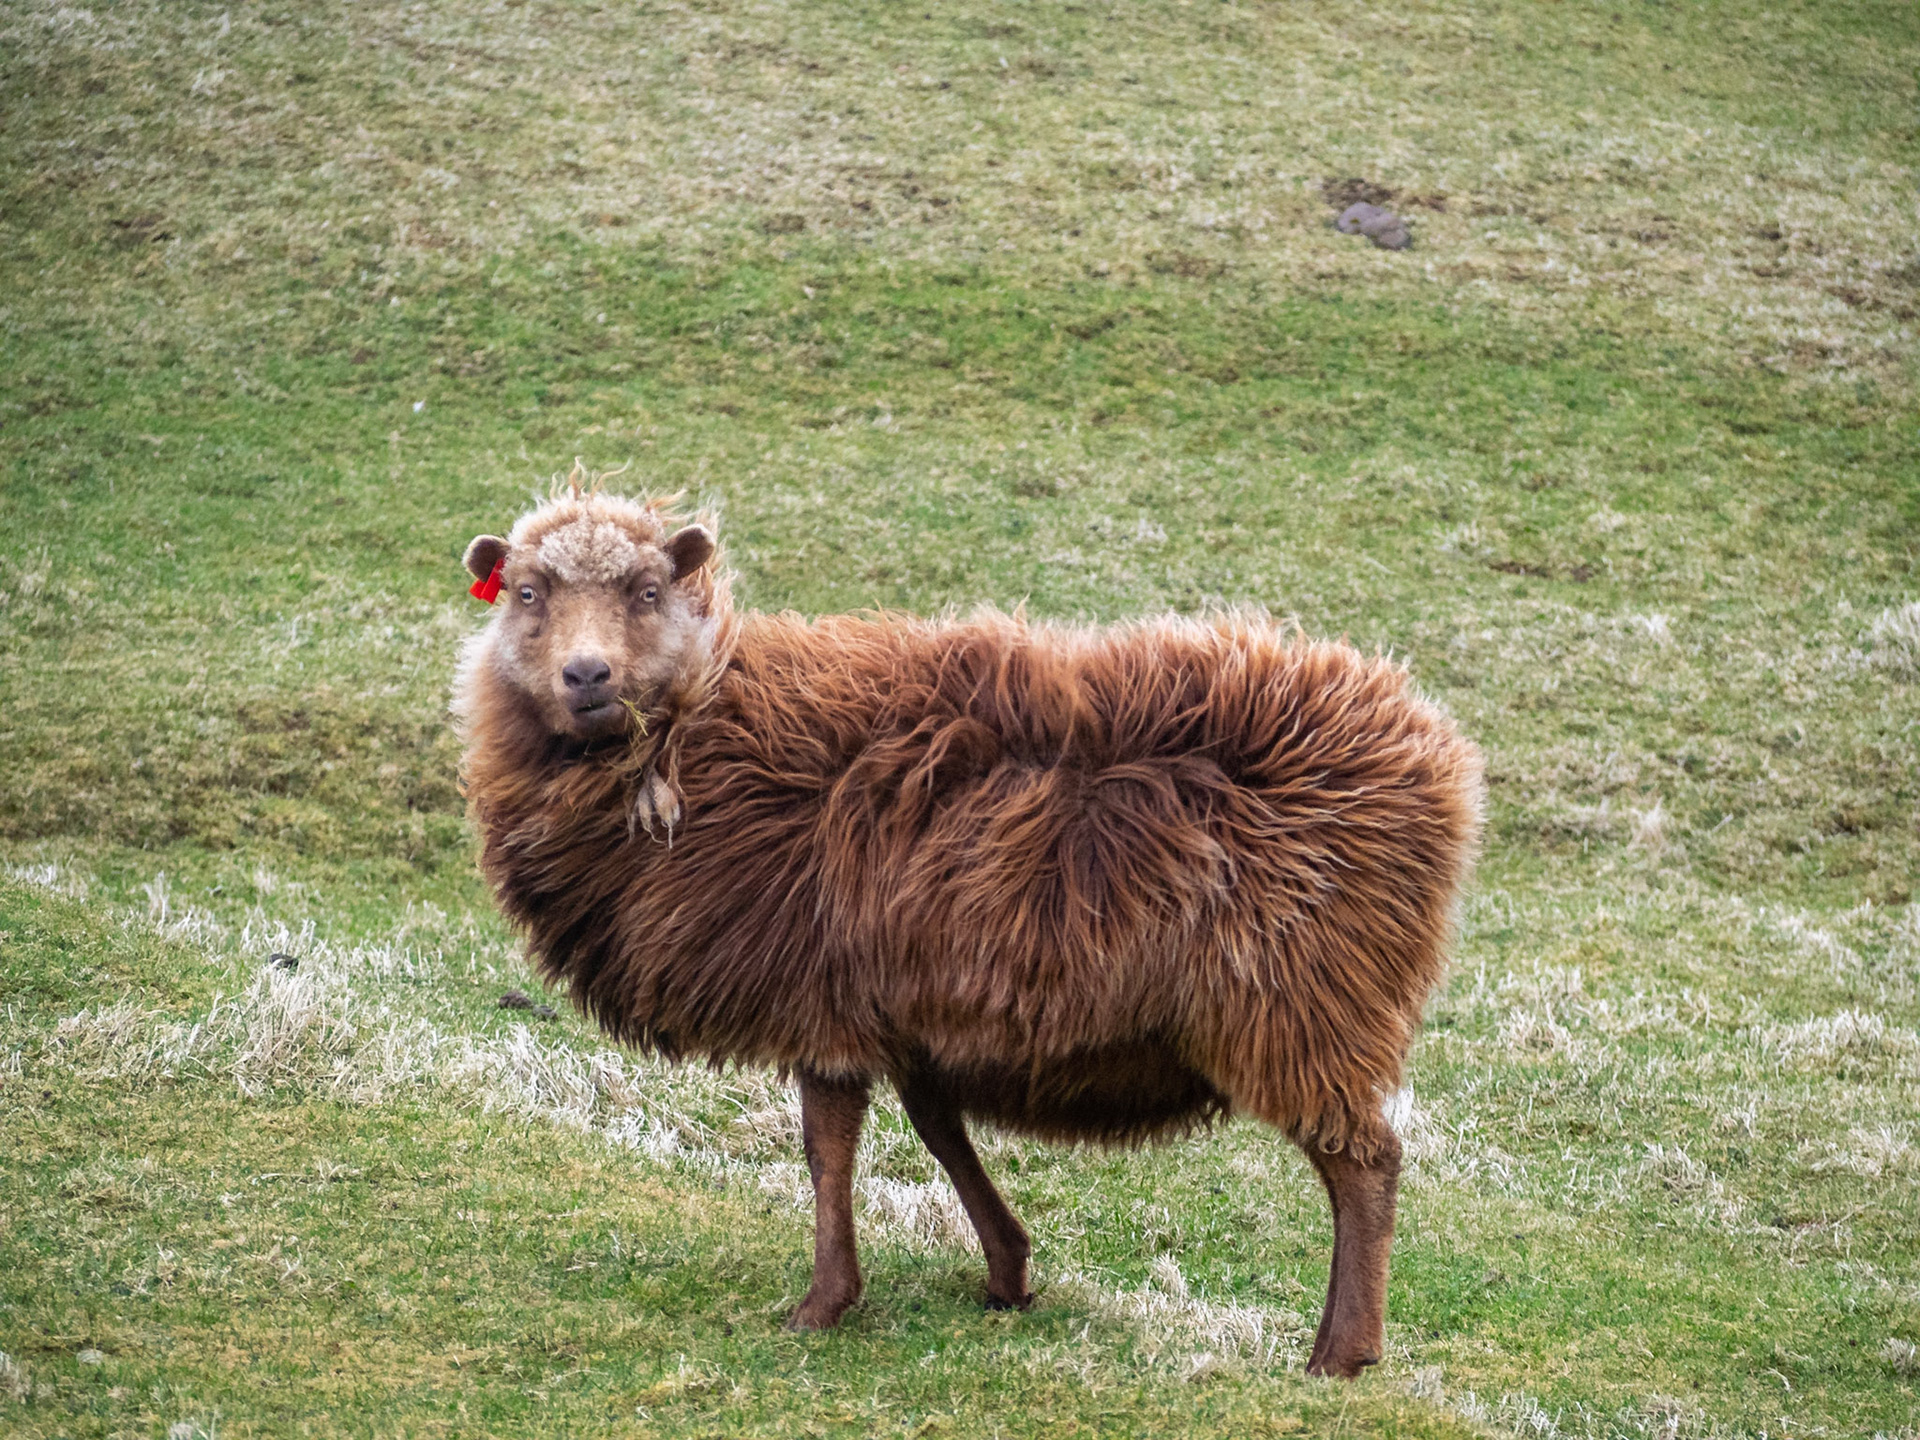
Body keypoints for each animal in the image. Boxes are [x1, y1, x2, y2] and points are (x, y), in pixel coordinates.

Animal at [453, 482, 1483, 1379]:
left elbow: (828, 1146)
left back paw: (1341, 1354)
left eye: (647, 590)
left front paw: (823, 1304)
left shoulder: (821, 997)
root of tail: (1428, 753)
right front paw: (1007, 1271)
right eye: (530, 593)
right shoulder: (901, 997)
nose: (588, 675)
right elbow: (937, 1124)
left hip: (1305, 1001)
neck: (697, 734)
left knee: (1365, 1164)